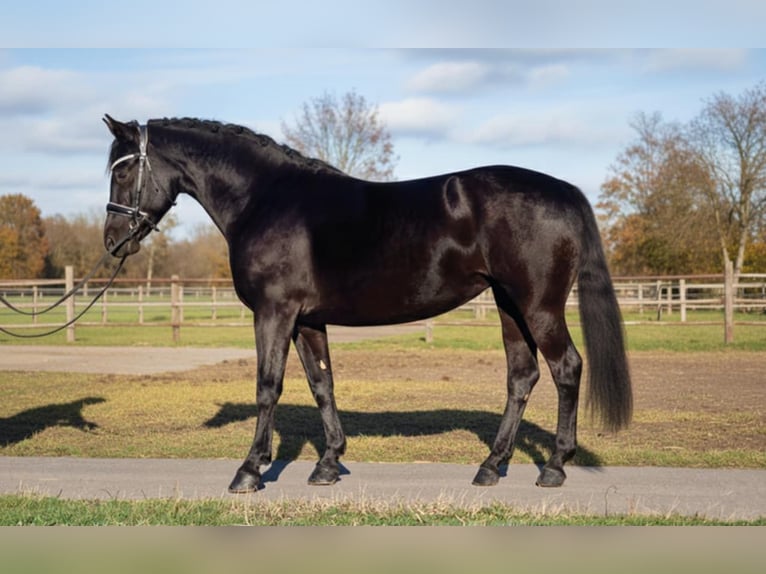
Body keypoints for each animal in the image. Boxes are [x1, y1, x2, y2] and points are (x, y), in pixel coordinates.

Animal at [102, 115, 632, 493]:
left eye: (123, 169)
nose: (111, 240)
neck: (265, 199)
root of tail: (563, 190)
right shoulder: (306, 320)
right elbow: (322, 384)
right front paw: (328, 464)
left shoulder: (275, 313)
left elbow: (268, 387)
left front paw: (250, 471)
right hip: (509, 306)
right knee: (522, 376)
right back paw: (490, 465)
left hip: (538, 306)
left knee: (566, 368)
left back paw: (555, 466)